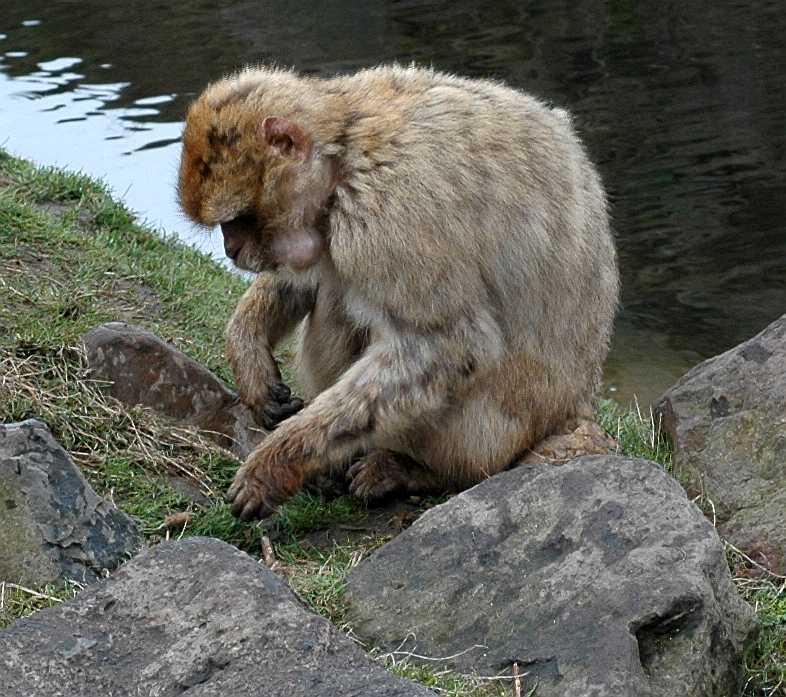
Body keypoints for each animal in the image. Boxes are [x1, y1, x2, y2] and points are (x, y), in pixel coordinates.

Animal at [178, 65, 620, 520]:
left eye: (240, 220)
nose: (231, 250)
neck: (346, 148)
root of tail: (573, 407)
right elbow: (304, 276)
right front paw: (251, 360)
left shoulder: (390, 219)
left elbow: (447, 345)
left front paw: (277, 462)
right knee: (335, 298)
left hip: (493, 434)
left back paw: (414, 470)